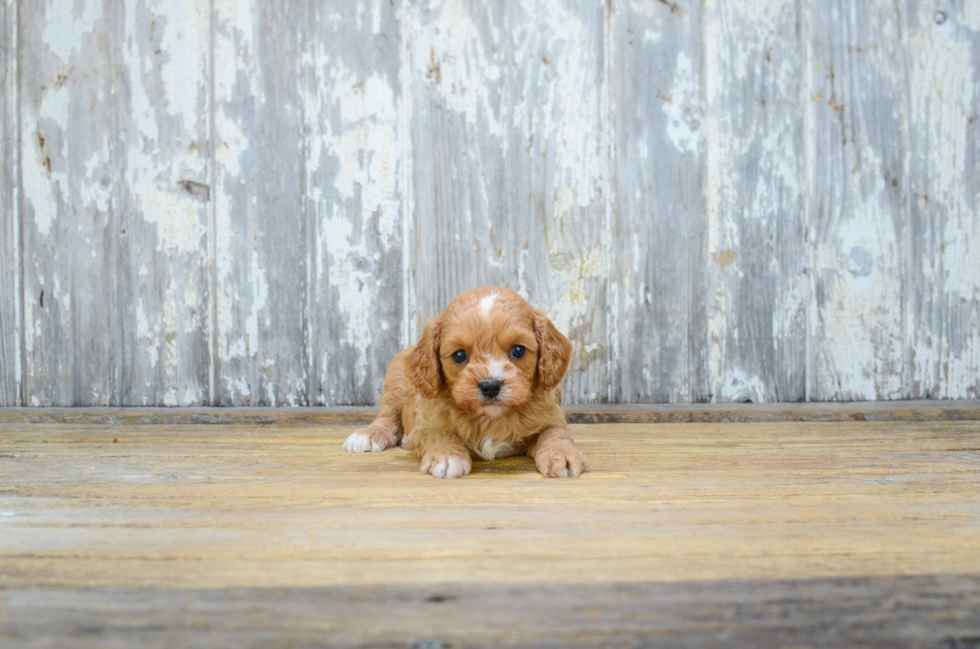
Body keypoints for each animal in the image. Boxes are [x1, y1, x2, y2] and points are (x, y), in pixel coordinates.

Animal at [344, 286, 588, 478]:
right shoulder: (426, 423)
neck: (490, 418)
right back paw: (367, 436)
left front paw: (562, 455)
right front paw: (447, 457)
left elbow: (554, 434)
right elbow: (439, 434)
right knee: (388, 417)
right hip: (395, 383)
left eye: (518, 350)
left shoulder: (553, 418)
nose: (490, 386)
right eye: (459, 355)